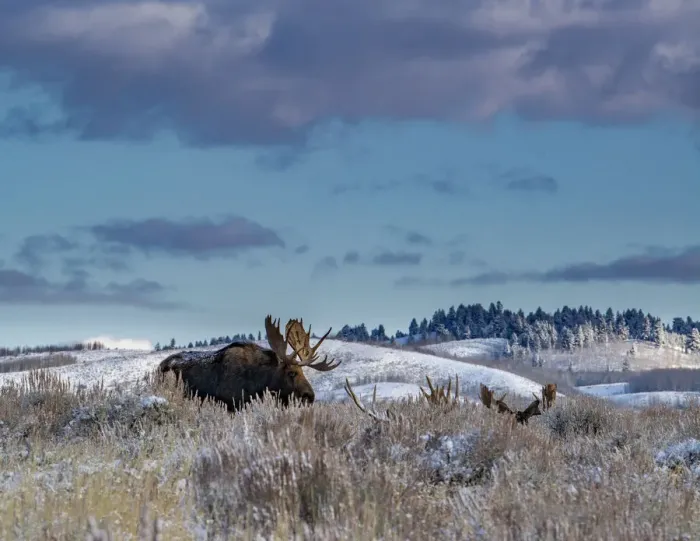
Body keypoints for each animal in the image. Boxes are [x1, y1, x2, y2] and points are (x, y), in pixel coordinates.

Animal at [158, 314, 339, 411]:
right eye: (292, 372)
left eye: (303, 372)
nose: (310, 396)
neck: (259, 383)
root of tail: (160, 365)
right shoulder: (232, 404)